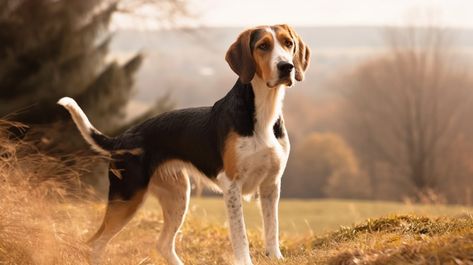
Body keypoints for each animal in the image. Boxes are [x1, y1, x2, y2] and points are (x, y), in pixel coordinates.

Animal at [58, 24, 310, 264]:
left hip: (177, 197)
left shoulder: (271, 184)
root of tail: (123, 138)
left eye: (288, 43)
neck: (264, 111)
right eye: (263, 46)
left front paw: (275, 257)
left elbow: (272, 228)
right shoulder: (231, 185)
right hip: (127, 198)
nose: (286, 66)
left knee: (162, 244)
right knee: (95, 243)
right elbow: (241, 235)